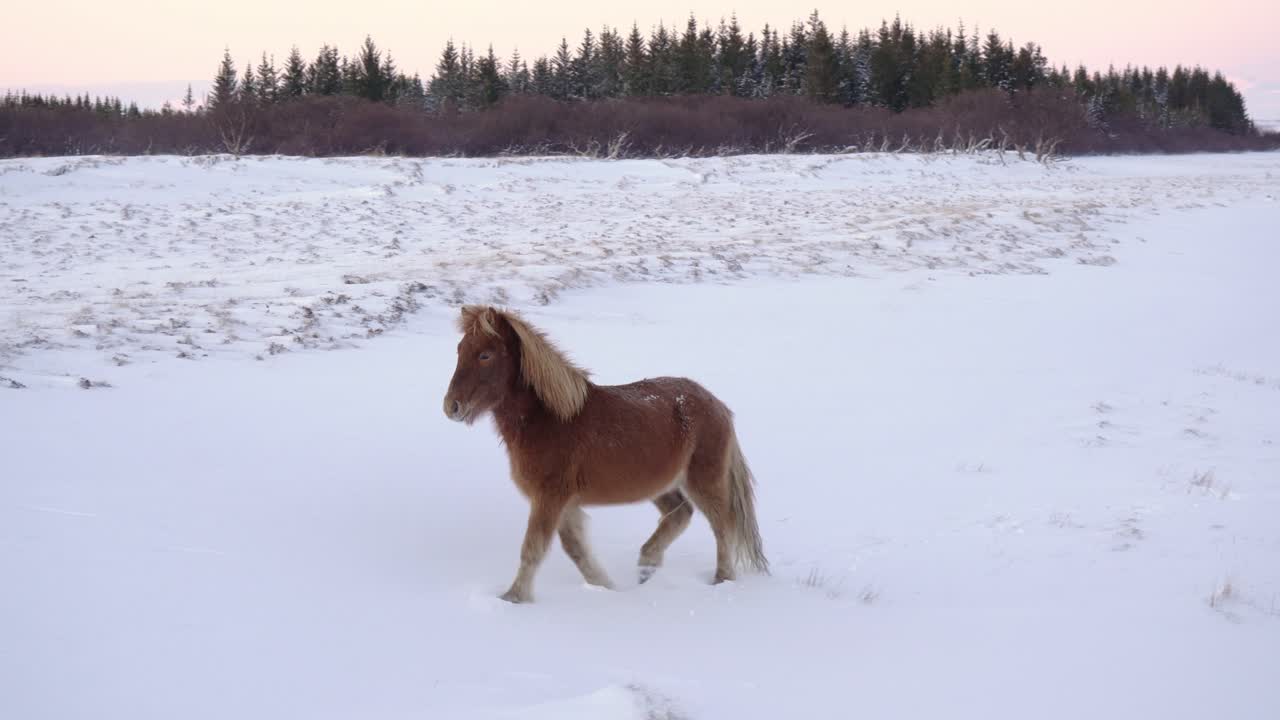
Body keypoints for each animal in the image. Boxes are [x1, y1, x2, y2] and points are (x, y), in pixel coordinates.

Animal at [442, 305, 769, 603]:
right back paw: (647, 566)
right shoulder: (564, 502)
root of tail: (718, 405)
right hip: (659, 485)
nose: (451, 407)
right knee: (680, 513)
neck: (550, 420)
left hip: (703, 481)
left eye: (485, 355)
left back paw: (720, 579)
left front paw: (513, 598)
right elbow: (575, 549)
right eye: (460, 349)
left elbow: (533, 548)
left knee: (722, 524)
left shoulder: (550, 497)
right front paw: (605, 586)